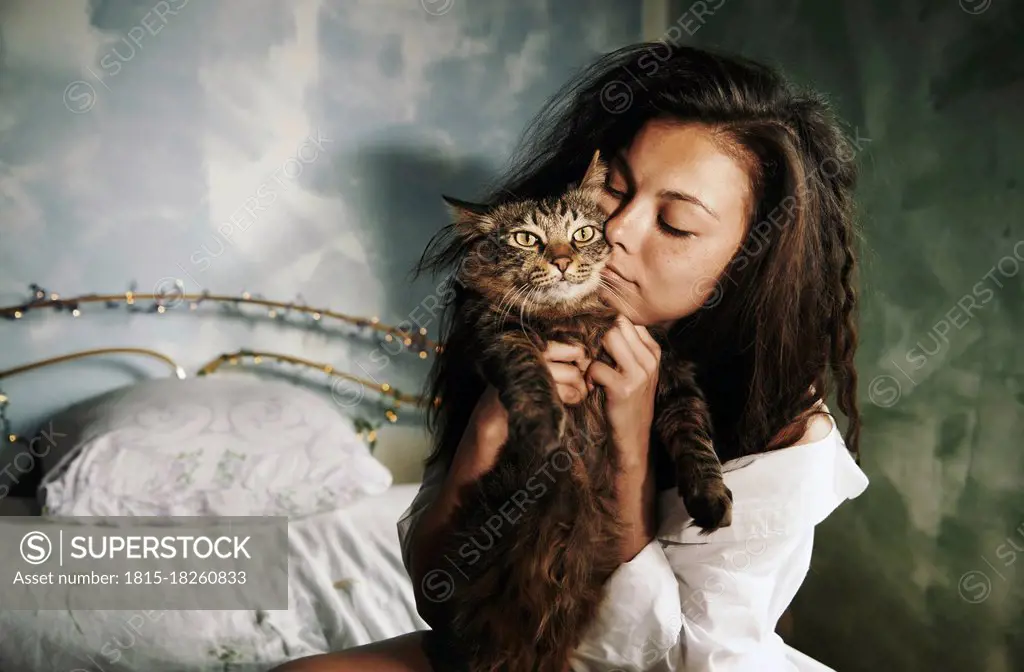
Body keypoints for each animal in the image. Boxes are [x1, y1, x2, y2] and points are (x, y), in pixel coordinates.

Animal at [428, 150, 733, 672]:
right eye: (527, 238)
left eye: (584, 233)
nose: (563, 260)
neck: (573, 316)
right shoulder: (500, 334)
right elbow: (530, 375)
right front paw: (544, 425)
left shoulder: (671, 372)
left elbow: (696, 439)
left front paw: (710, 496)